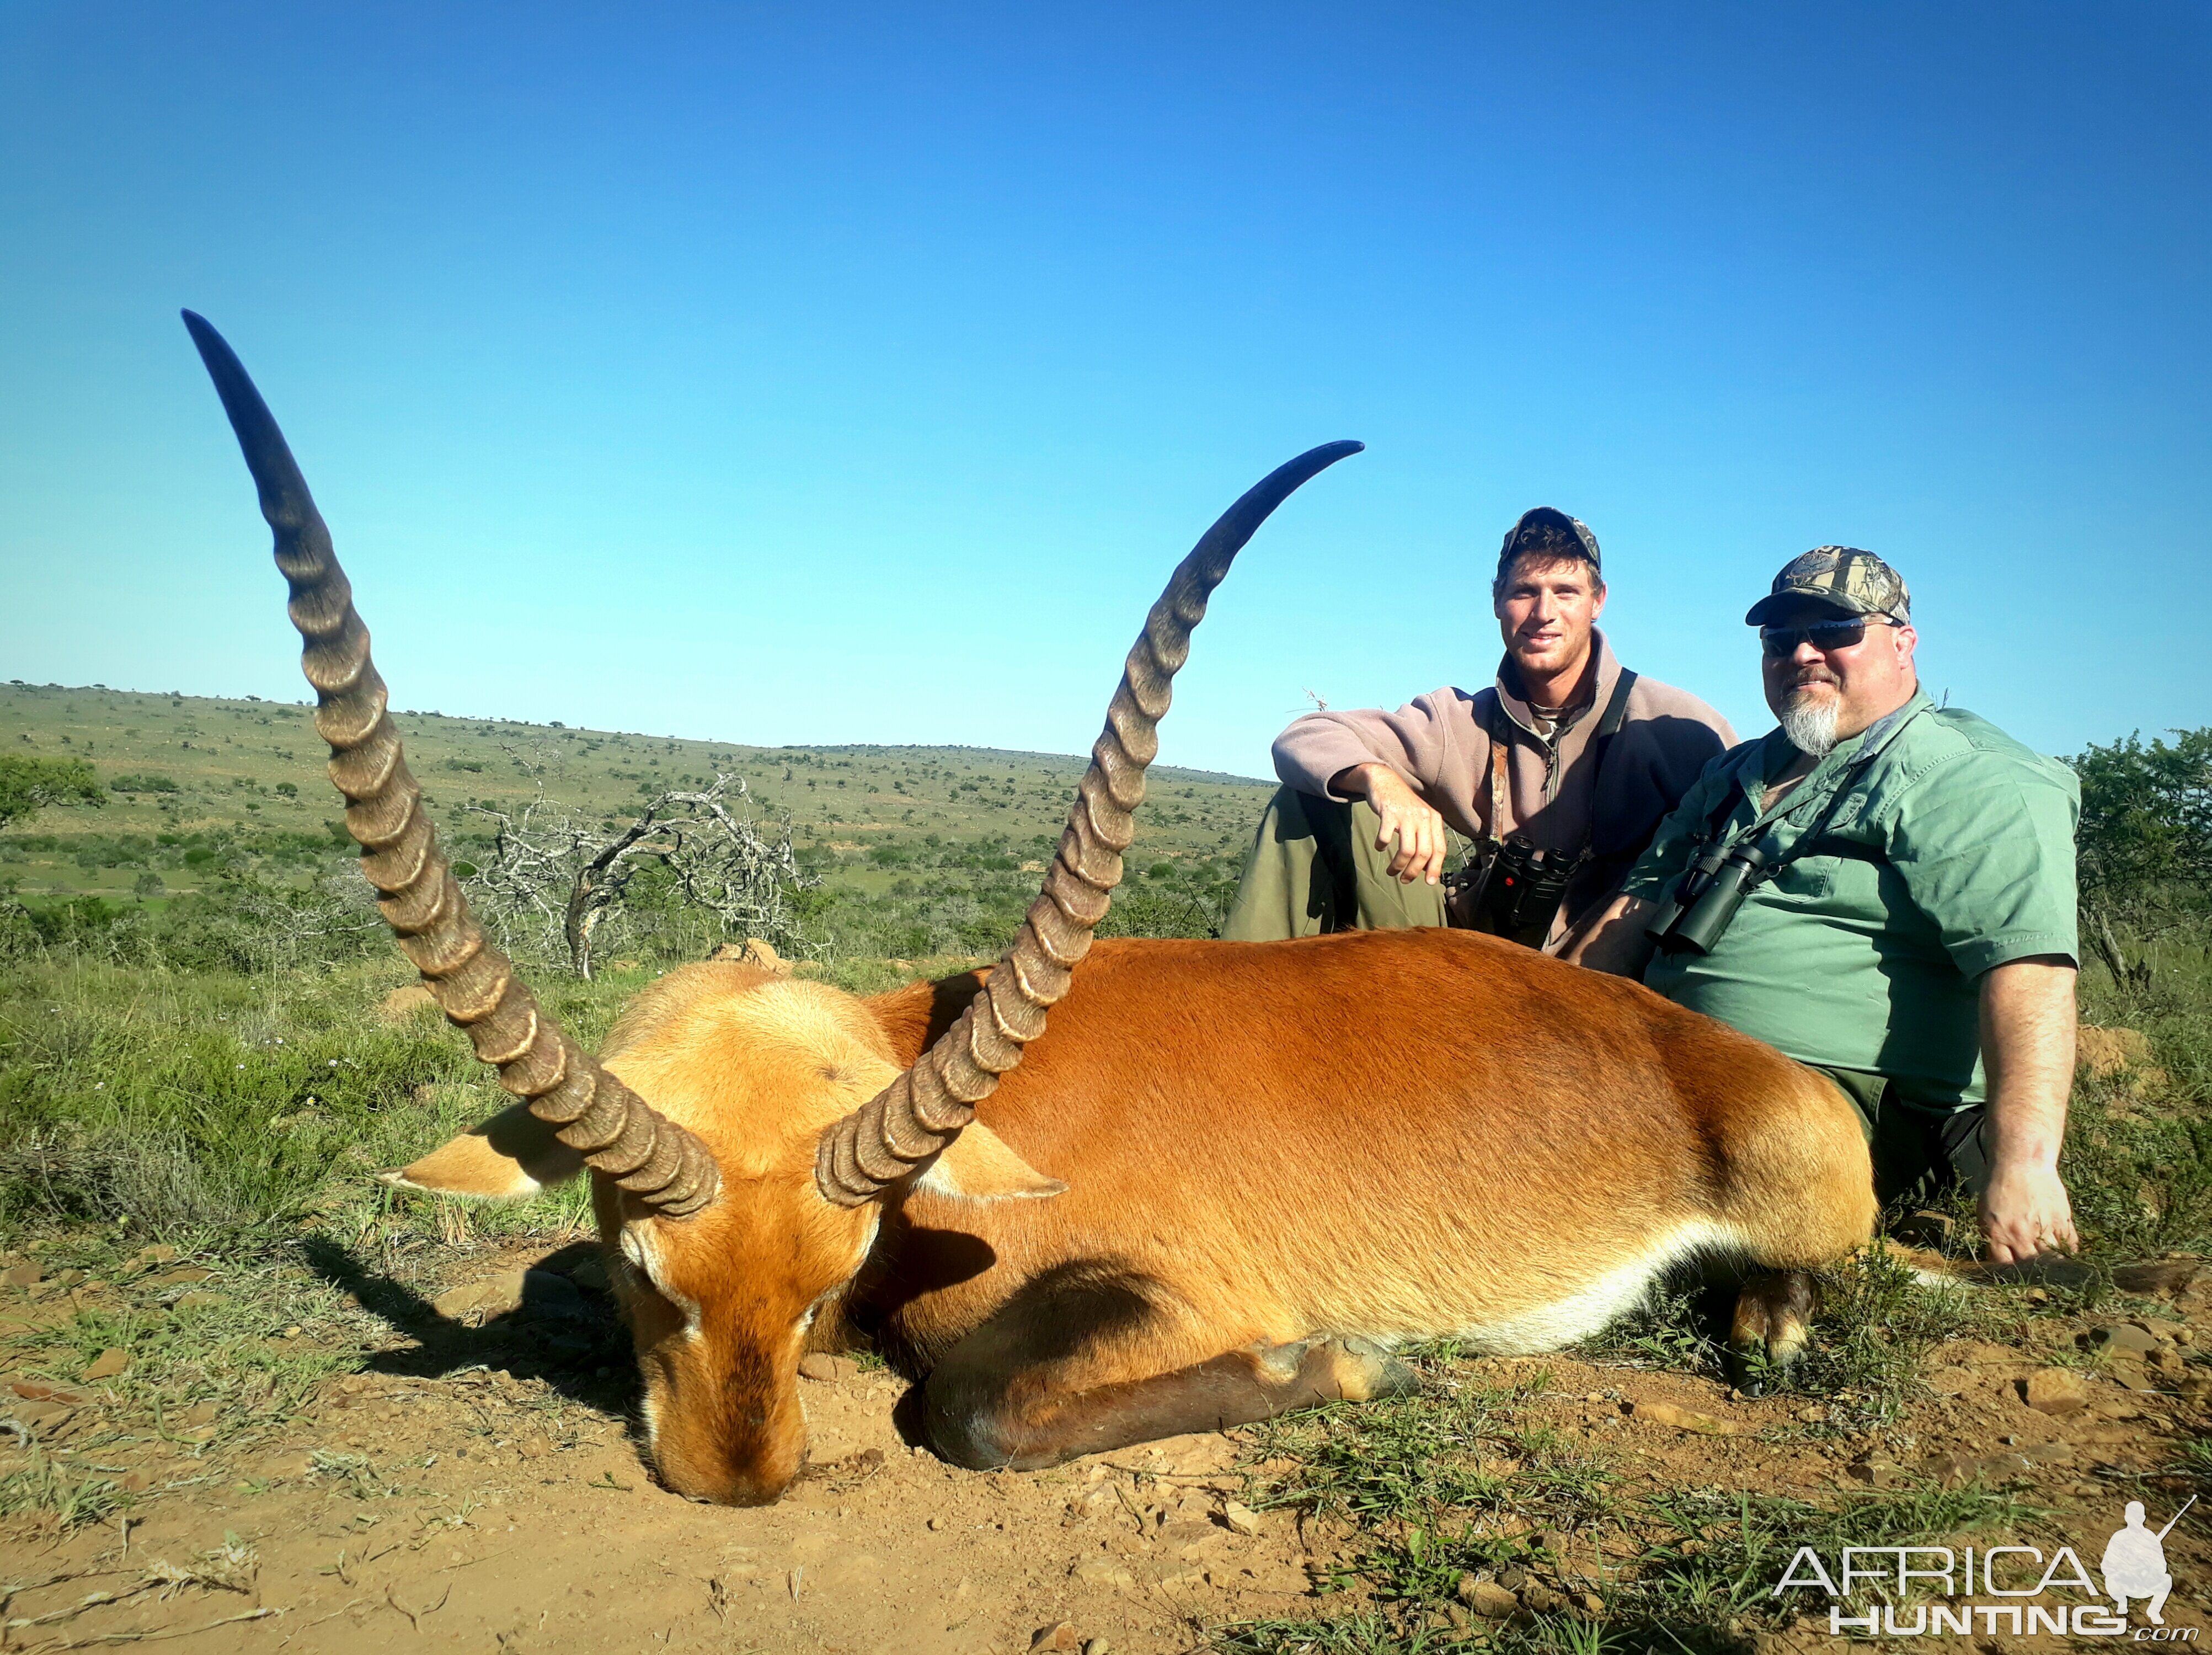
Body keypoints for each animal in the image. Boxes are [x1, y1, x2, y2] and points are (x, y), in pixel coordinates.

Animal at [190, 314, 1876, 1513]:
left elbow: (973, 1407)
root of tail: (1734, 1064)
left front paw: (1345, 1364)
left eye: (831, 1279)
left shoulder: (1165, 1298)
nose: (741, 1481)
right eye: (640, 1273)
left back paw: (1769, 1327)